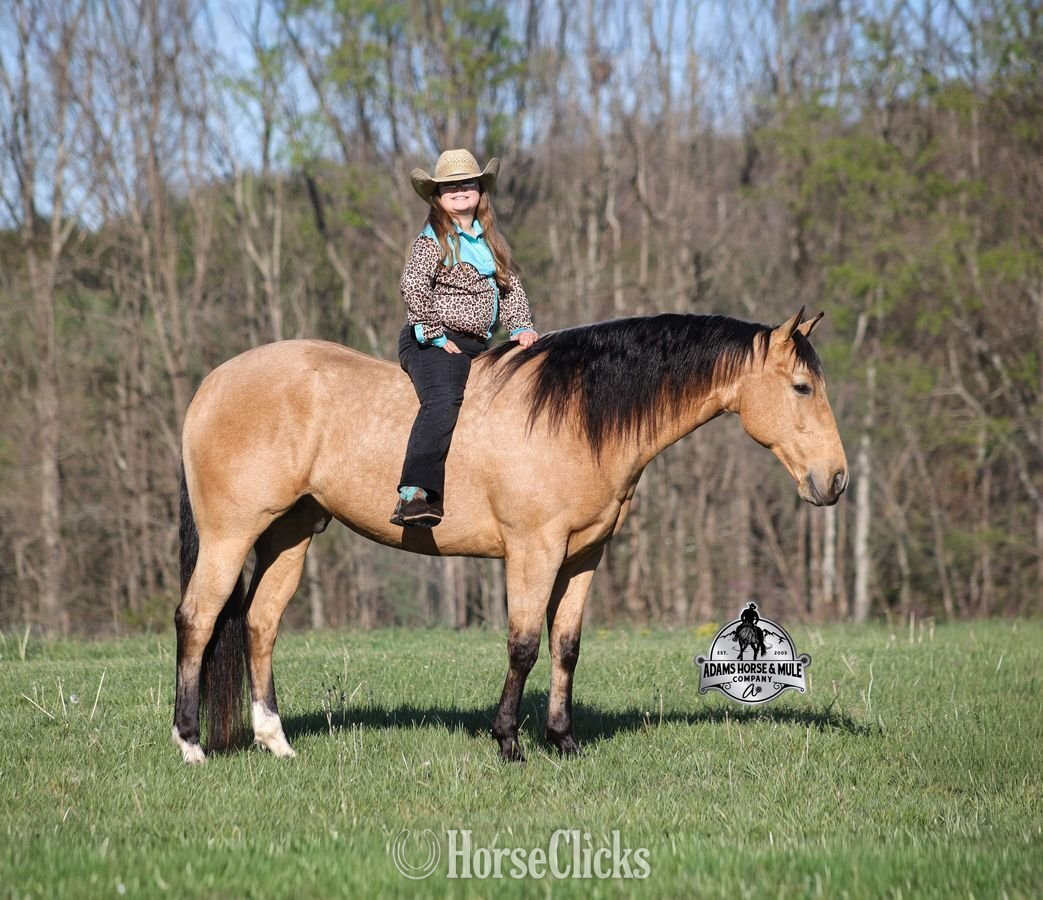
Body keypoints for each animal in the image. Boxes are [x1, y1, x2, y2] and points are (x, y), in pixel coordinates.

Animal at [172, 308, 847, 765]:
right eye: (802, 387)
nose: (835, 480)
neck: (576, 415)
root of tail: (211, 385)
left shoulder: (583, 557)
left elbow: (566, 647)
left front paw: (563, 740)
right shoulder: (532, 550)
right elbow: (522, 645)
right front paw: (509, 742)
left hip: (291, 534)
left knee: (260, 624)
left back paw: (276, 742)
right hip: (231, 534)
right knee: (198, 619)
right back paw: (190, 743)